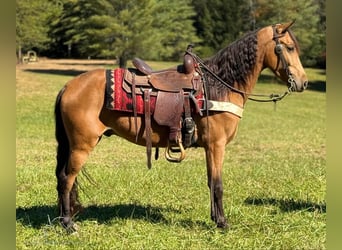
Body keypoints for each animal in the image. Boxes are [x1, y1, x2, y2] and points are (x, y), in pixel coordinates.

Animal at [55, 22, 308, 232]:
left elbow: (210, 182)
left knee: (61, 177)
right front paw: (223, 223)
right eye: (288, 47)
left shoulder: (210, 147)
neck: (219, 85)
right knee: (67, 178)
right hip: (81, 145)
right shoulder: (217, 145)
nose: (303, 82)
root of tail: (68, 86)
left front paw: (215, 218)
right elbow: (218, 184)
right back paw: (68, 224)